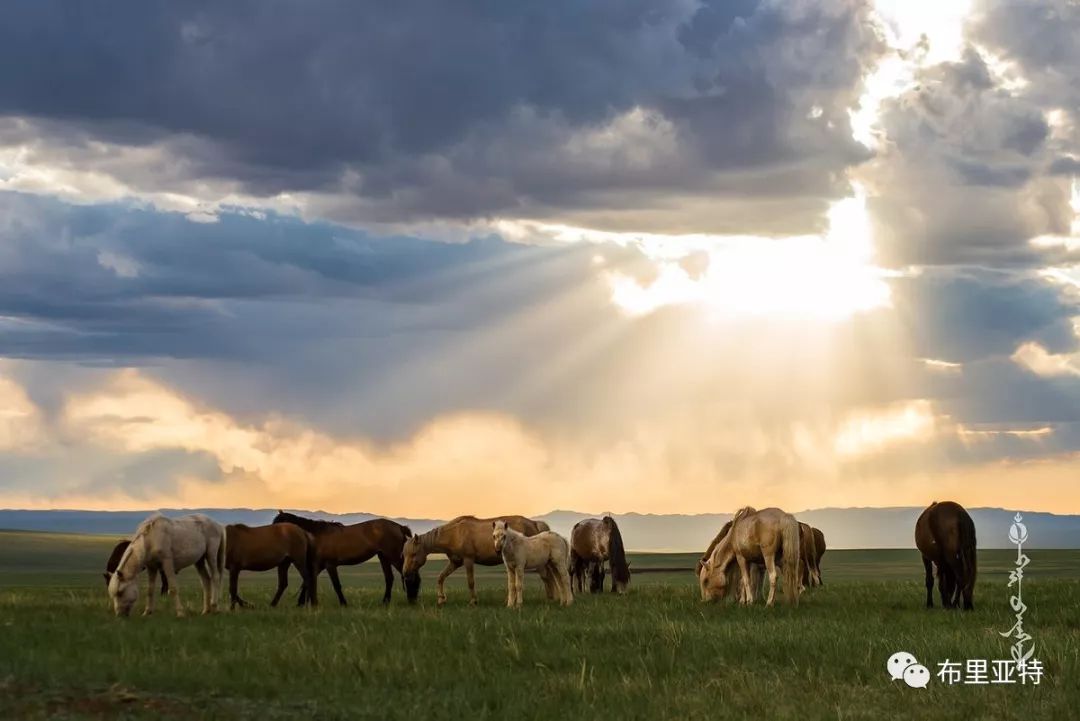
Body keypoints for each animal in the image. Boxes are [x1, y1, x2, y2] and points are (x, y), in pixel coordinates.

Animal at [272, 509, 419, 604]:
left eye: (278, 525)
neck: (316, 537)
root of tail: (399, 527)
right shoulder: (318, 566)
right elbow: (307, 582)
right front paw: (301, 603)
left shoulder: (329, 565)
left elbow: (336, 585)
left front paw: (343, 603)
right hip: (384, 557)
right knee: (389, 578)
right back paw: (386, 602)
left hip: (393, 557)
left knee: (410, 576)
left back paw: (411, 599)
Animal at [403, 515, 557, 604]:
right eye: (404, 554)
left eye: (414, 554)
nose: (405, 573)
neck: (454, 534)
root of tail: (534, 523)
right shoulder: (455, 562)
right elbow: (441, 577)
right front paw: (441, 599)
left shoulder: (468, 560)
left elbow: (470, 582)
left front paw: (473, 601)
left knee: (547, 577)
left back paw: (550, 598)